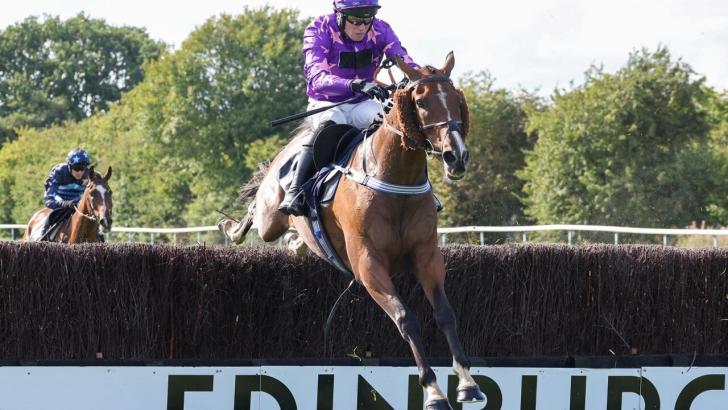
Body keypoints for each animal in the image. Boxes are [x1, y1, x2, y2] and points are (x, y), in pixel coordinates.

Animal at [220, 52, 483, 409]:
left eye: (457, 100)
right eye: (422, 102)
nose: (457, 156)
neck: (395, 178)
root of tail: (290, 146)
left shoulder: (427, 254)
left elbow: (445, 314)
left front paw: (468, 383)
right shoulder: (368, 263)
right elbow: (405, 318)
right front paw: (432, 390)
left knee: (292, 238)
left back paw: (296, 243)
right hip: (270, 215)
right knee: (257, 214)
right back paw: (233, 227)